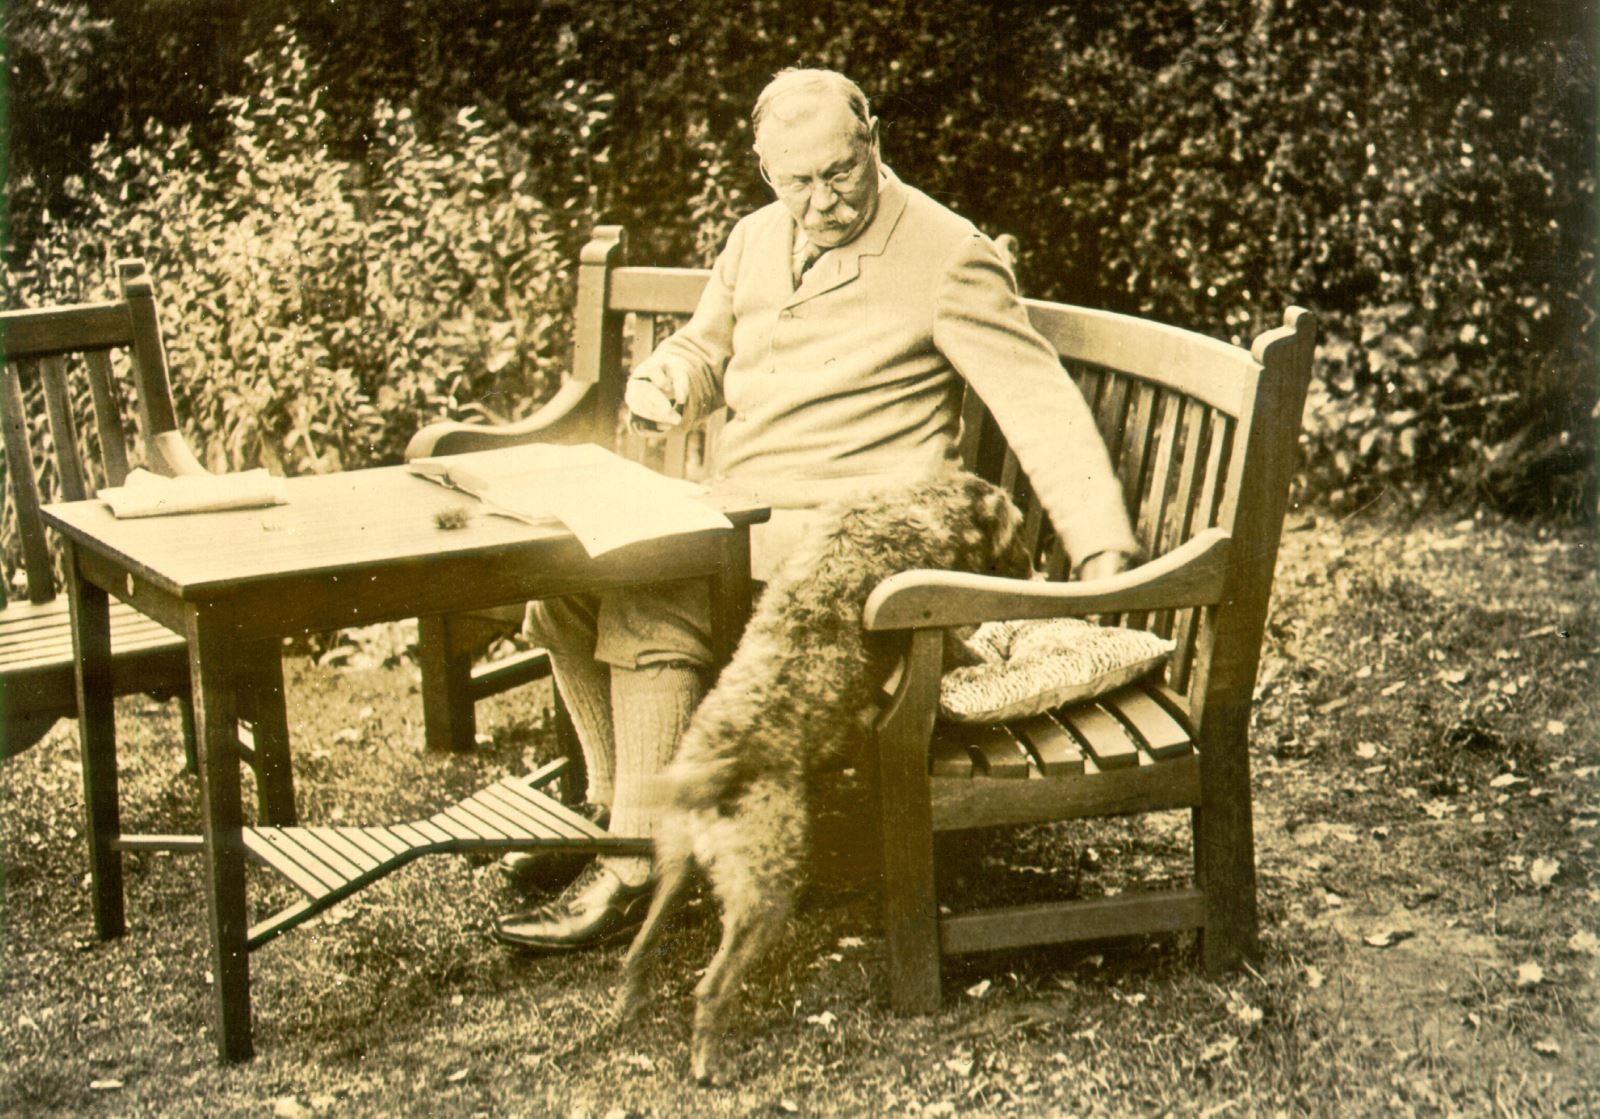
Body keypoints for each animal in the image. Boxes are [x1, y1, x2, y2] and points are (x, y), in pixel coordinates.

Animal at [611, 470, 1024, 1088]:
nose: (1035, 570)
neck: (914, 501)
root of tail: (713, 771)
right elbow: (960, 647)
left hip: (676, 864)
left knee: (640, 945)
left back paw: (629, 1004)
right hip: (764, 892)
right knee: (711, 988)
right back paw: (710, 1063)